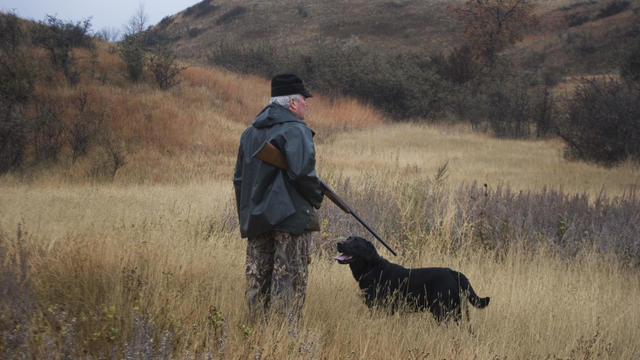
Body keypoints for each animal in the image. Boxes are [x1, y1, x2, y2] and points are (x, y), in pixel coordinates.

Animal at [336, 236, 490, 320]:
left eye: (355, 242)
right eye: (348, 238)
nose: (338, 244)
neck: (372, 268)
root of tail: (454, 272)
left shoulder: (381, 308)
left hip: (442, 311)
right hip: (458, 311)